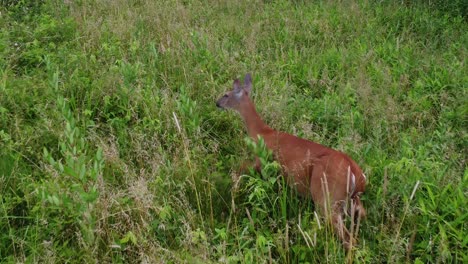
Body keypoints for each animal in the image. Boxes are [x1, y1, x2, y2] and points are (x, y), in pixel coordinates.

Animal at [218, 72, 368, 250]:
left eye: (226, 94)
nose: (217, 103)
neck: (262, 133)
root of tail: (356, 173)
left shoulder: (263, 163)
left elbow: (241, 167)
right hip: (351, 200)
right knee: (361, 216)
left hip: (326, 195)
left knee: (347, 237)